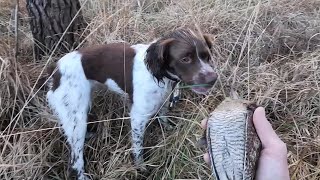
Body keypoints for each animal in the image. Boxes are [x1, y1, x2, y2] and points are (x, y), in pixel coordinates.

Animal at [46, 28, 219, 179]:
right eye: (185, 59)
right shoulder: (138, 117)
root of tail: (55, 70)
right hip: (77, 120)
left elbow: (163, 116)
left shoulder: (163, 100)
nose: (213, 79)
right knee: (76, 160)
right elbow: (137, 146)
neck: (159, 74)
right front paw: (140, 167)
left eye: (206, 56)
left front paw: (168, 127)